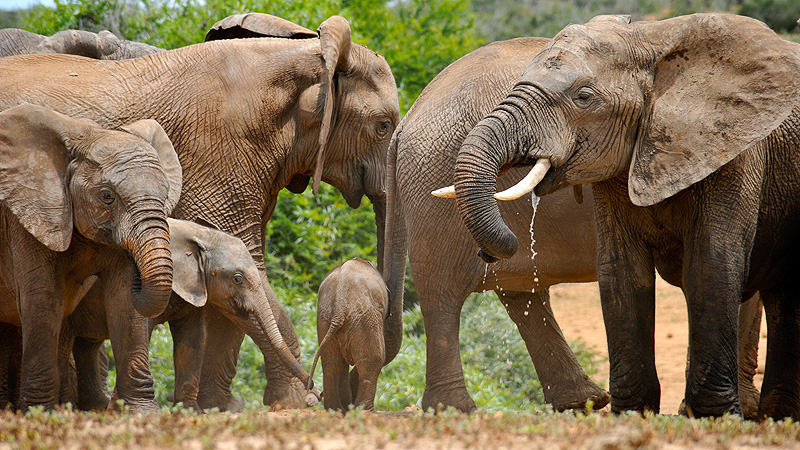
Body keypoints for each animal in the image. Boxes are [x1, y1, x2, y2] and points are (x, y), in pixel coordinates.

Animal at [0, 103, 182, 410]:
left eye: (166, 193)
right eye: (107, 196)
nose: (138, 269)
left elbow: (123, 303)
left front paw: (142, 413)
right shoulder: (27, 215)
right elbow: (43, 299)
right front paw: (39, 413)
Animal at [55, 218, 318, 411]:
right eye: (237, 279)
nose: (314, 394)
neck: (200, 235)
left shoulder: (194, 286)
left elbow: (193, 339)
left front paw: (191, 412)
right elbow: (142, 334)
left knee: (87, 345)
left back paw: (96, 406)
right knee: (65, 340)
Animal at [309, 258, 388, 412]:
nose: (320, 394)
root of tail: (339, 308)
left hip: (324, 319)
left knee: (331, 363)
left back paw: (336, 410)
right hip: (364, 319)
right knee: (373, 359)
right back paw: (365, 411)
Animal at [449, 13, 800, 419]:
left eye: (584, 97)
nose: (488, 253)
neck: (652, 39)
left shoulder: (735, 149)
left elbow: (711, 266)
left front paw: (715, 417)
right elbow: (621, 272)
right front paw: (632, 414)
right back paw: (780, 415)